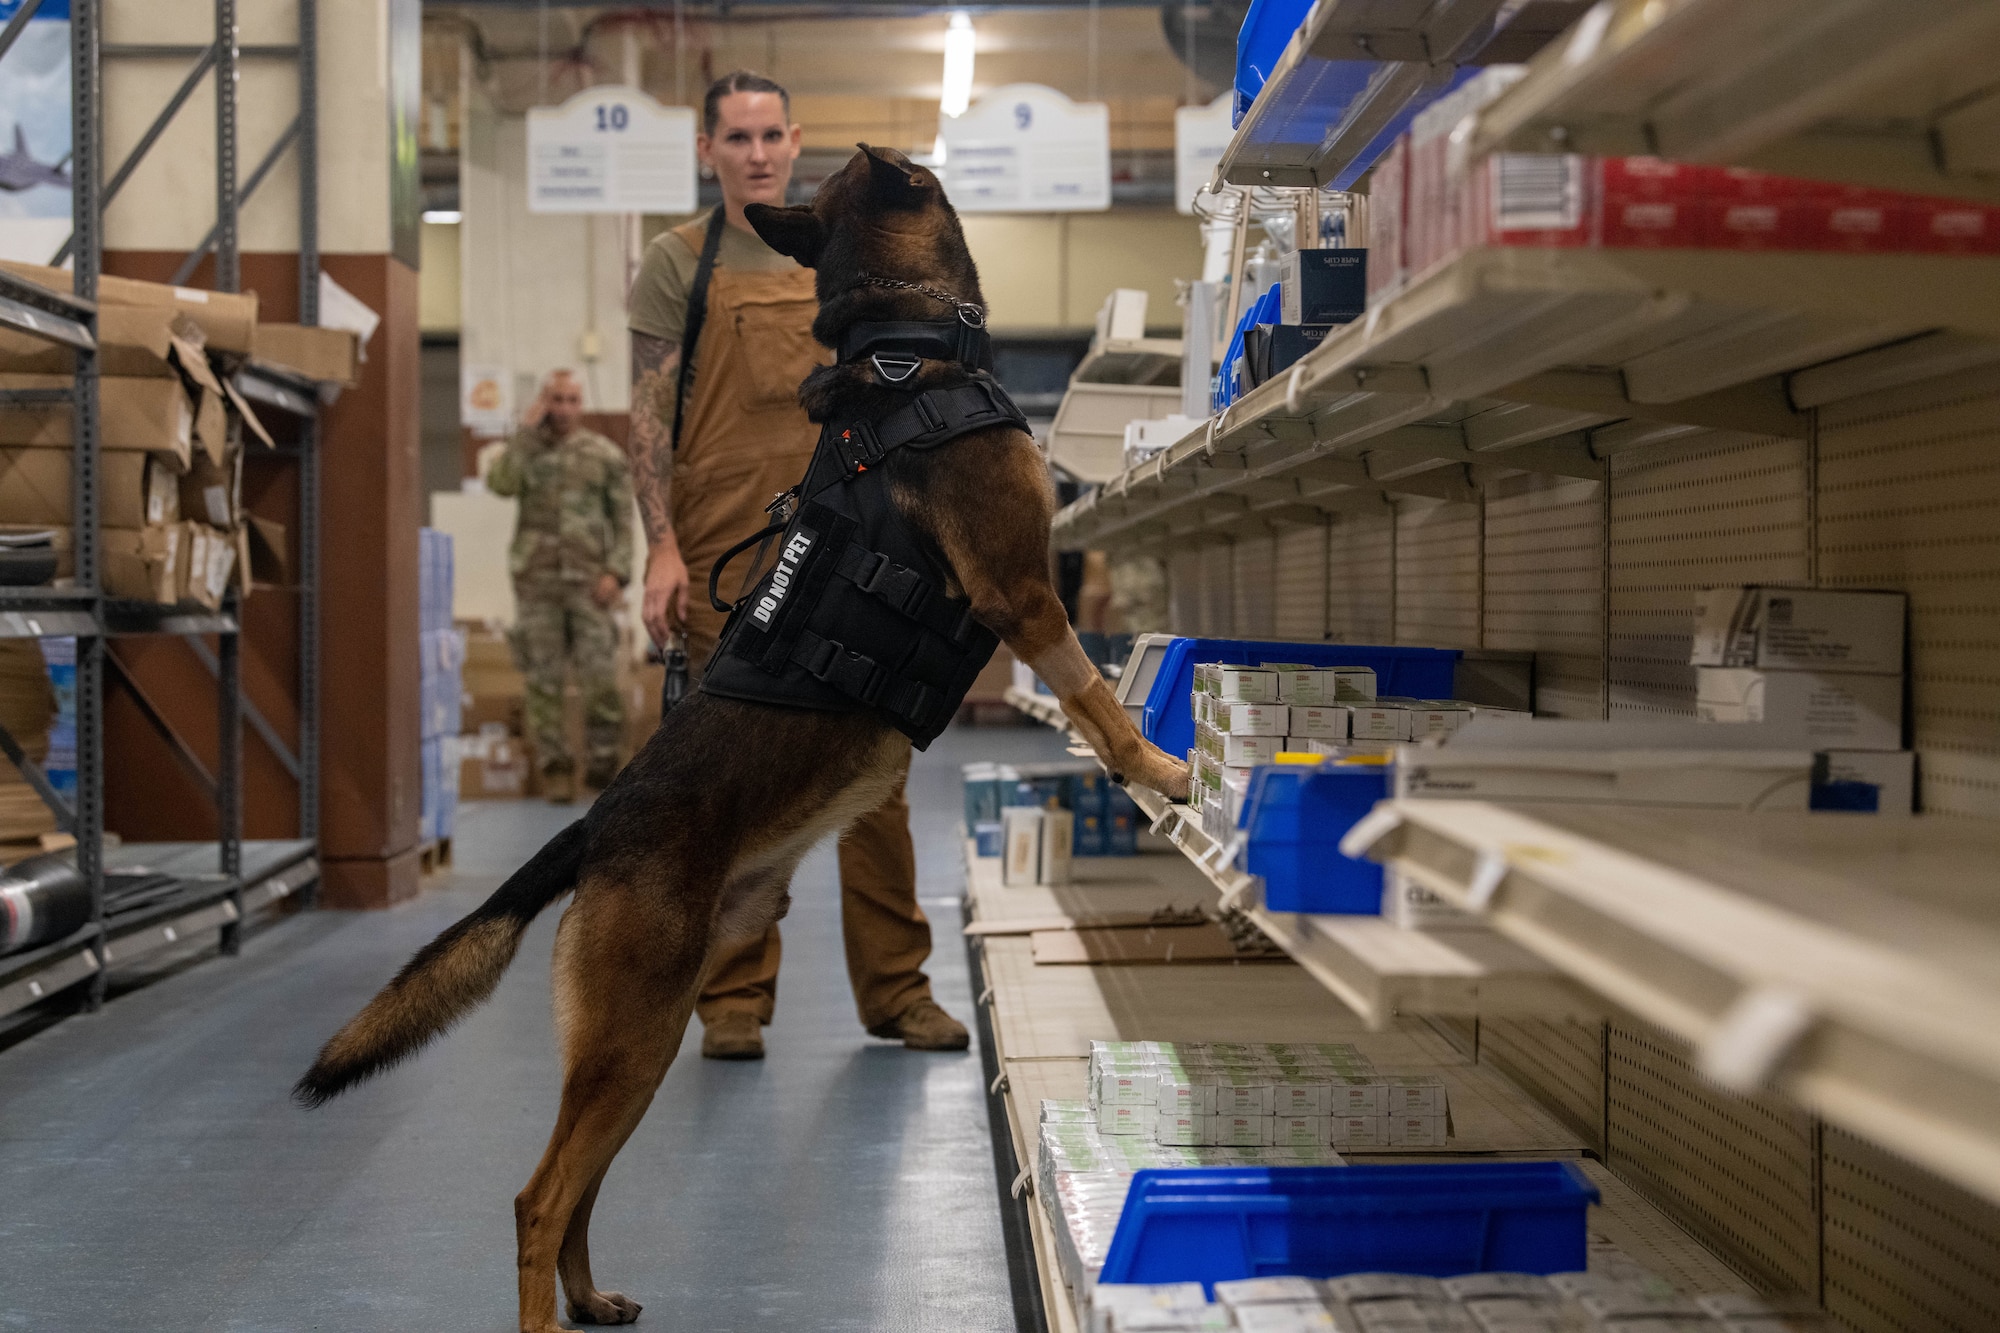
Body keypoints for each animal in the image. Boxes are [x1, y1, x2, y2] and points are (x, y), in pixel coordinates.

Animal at [296, 145, 1184, 1328]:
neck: (902, 352)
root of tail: (593, 827)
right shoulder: (1022, 596)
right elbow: (1095, 698)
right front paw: (1161, 767)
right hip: (632, 1036)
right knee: (538, 1198)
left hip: (641, 1043)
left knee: (580, 1188)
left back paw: (593, 1297)